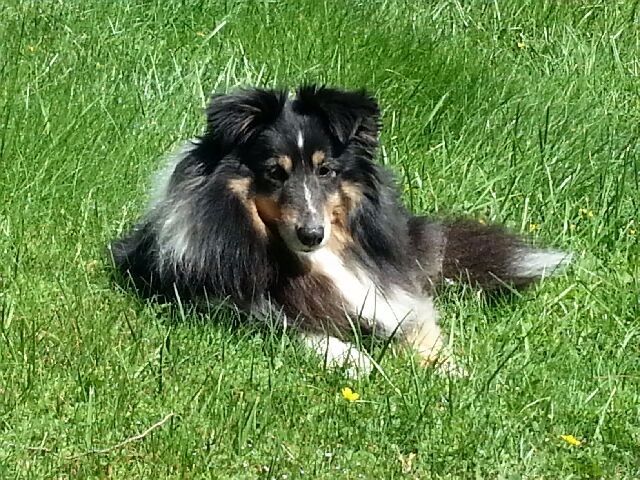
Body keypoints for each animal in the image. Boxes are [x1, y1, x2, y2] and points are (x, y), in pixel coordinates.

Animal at [109, 86, 568, 378]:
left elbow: (418, 326)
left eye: (326, 169)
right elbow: (300, 332)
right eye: (274, 172)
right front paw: (359, 361)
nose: (312, 234)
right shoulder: (228, 308)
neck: (313, 261)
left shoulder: (388, 291)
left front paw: (451, 370)